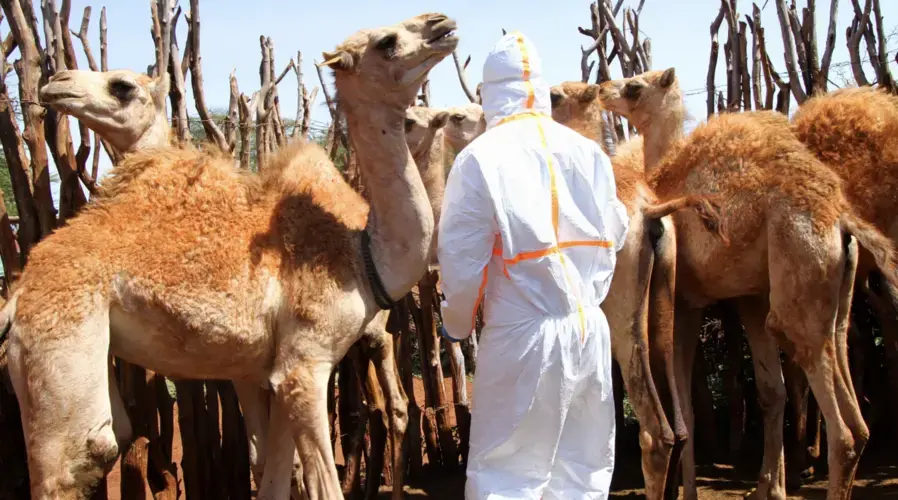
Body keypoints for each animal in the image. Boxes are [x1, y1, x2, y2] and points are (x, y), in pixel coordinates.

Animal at [5, 12, 456, 500]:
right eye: (386, 42)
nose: (442, 23)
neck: (361, 253)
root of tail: (18, 293)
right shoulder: (305, 364)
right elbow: (318, 481)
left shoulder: (276, 368)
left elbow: (276, 473)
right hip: (59, 349)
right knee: (76, 459)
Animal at [544, 80, 712, 498]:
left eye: (555, 95)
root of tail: (650, 214)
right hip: (661, 312)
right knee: (679, 429)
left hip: (624, 323)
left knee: (655, 433)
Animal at [596, 67, 896, 500]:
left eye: (635, 86)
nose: (602, 88)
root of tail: (842, 219)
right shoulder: (750, 297)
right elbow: (771, 392)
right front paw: (770, 487)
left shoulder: (688, 300)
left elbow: (688, 403)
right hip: (835, 296)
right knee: (853, 413)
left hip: (796, 286)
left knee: (842, 429)